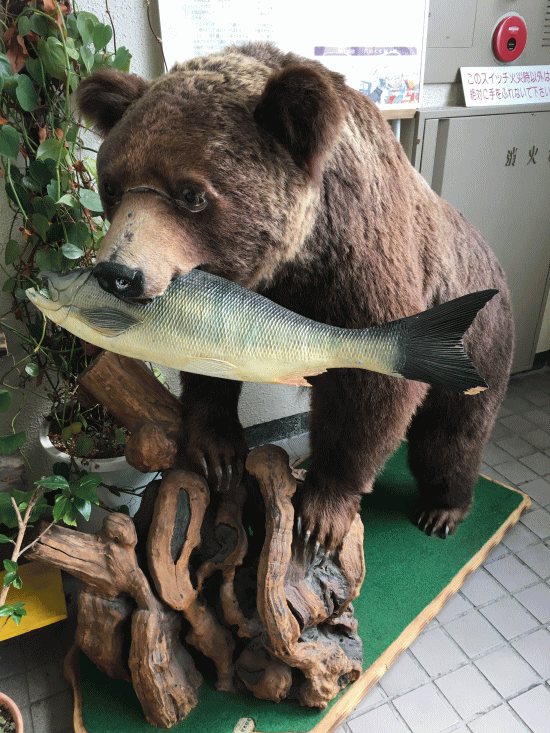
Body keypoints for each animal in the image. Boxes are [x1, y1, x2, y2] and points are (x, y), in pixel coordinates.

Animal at [76, 42, 514, 553]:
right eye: (111, 186)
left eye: (191, 194)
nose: (117, 274)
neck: (292, 263)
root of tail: (494, 258)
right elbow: (207, 366)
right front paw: (218, 452)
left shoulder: (359, 273)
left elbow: (371, 393)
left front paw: (322, 514)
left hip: (481, 340)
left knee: (451, 436)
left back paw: (442, 509)